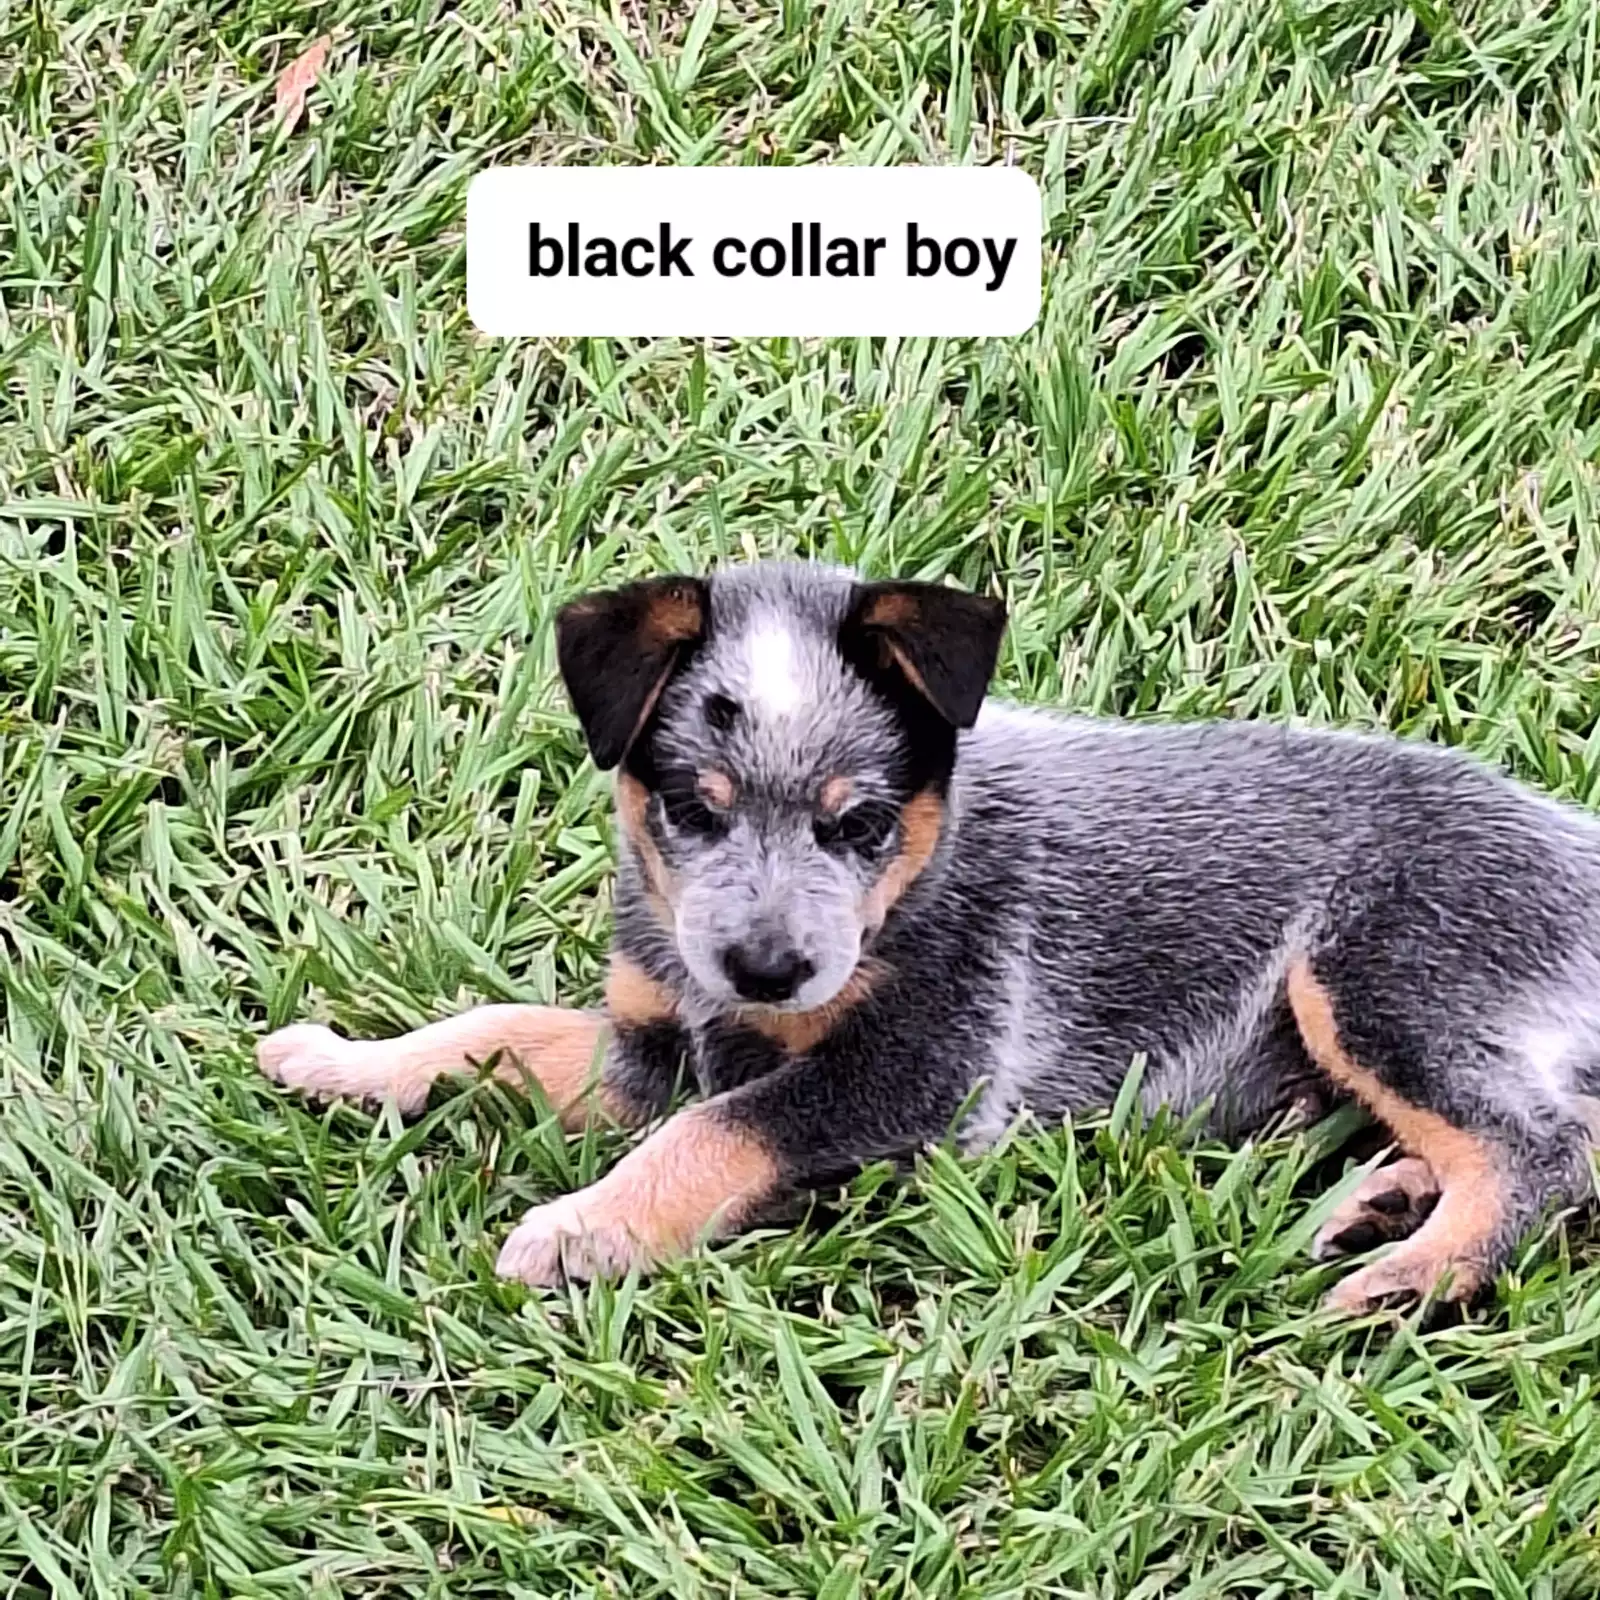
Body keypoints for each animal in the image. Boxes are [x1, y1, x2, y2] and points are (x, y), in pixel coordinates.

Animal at [257, 560, 1600, 1311]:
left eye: (858, 821)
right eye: (694, 806)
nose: (767, 969)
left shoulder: (918, 1069)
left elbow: (716, 1132)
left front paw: (585, 1228)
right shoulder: (647, 1049)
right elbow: (491, 1029)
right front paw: (342, 1061)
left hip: (1374, 977)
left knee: (1544, 1149)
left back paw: (1408, 1273)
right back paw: (1391, 1204)